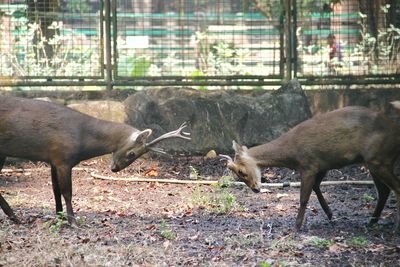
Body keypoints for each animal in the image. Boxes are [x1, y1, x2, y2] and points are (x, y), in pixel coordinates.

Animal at [222, 105, 400, 233]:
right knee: (384, 191)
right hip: (374, 162)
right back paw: (371, 221)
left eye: (241, 172)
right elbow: (316, 187)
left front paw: (296, 227)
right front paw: (330, 215)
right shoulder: (321, 165)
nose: (255, 189)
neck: (291, 153)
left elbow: (303, 198)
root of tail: (395, 132)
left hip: (379, 159)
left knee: (396, 188)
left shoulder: (308, 165)